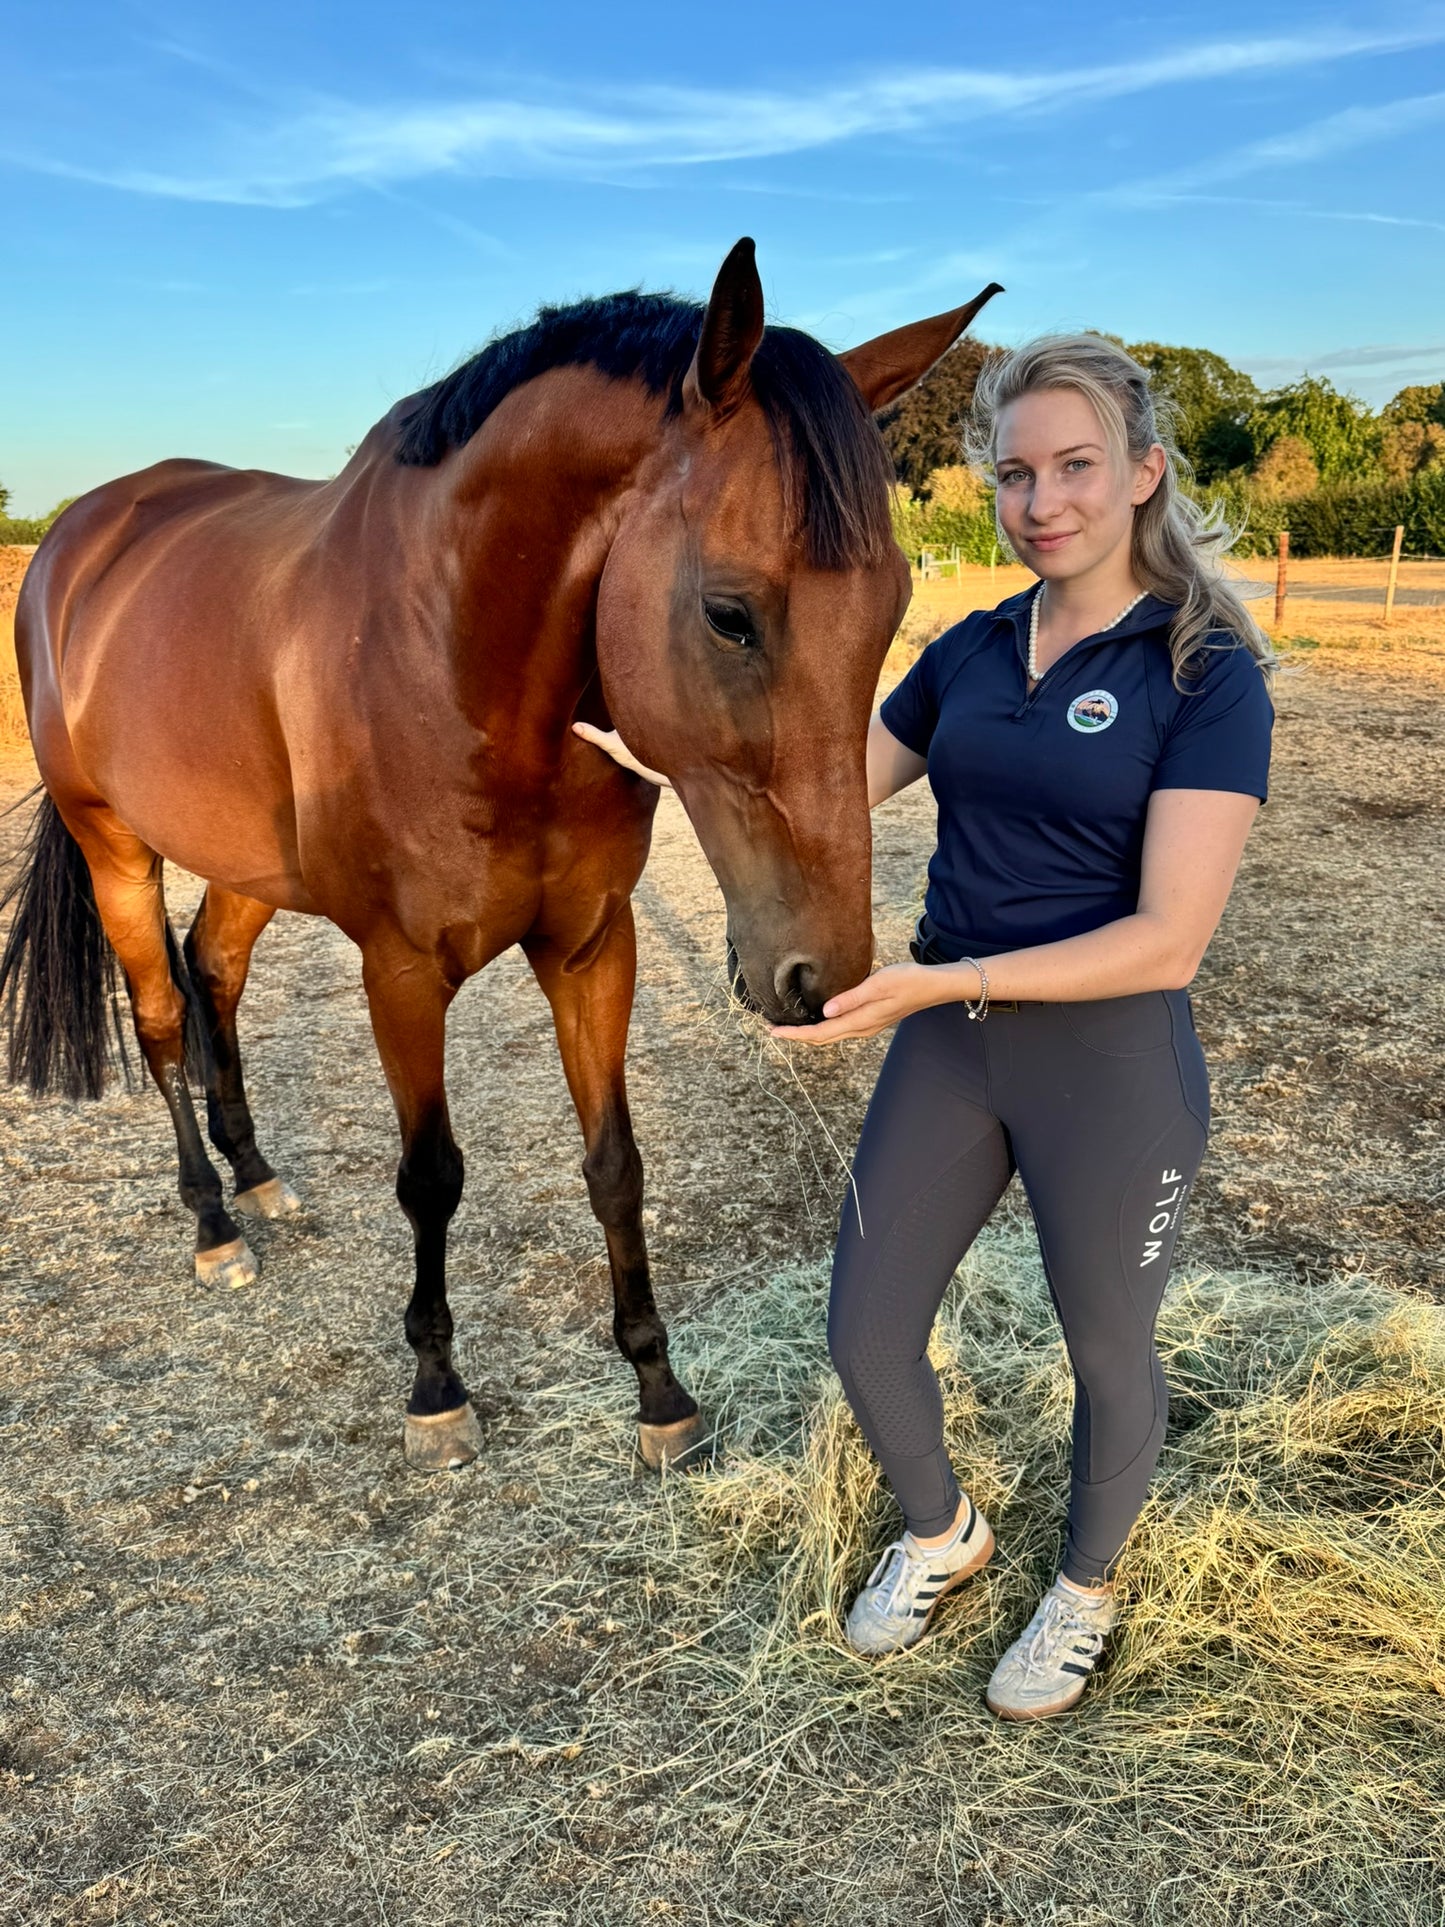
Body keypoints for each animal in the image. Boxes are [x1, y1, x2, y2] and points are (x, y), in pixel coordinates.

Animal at [2, 239, 999, 1472]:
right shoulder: (399, 971)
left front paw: (657, 1391)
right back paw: (214, 1221)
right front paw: (436, 1385)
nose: (822, 978)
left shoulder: (589, 947)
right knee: (159, 1020)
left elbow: (615, 1164)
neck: (457, 663)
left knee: (215, 972)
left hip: (245, 865)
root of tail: (81, 534)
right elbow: (431, 1178)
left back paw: (260, 1176)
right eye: (729, 614)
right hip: (115, 850)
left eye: (894, 602)